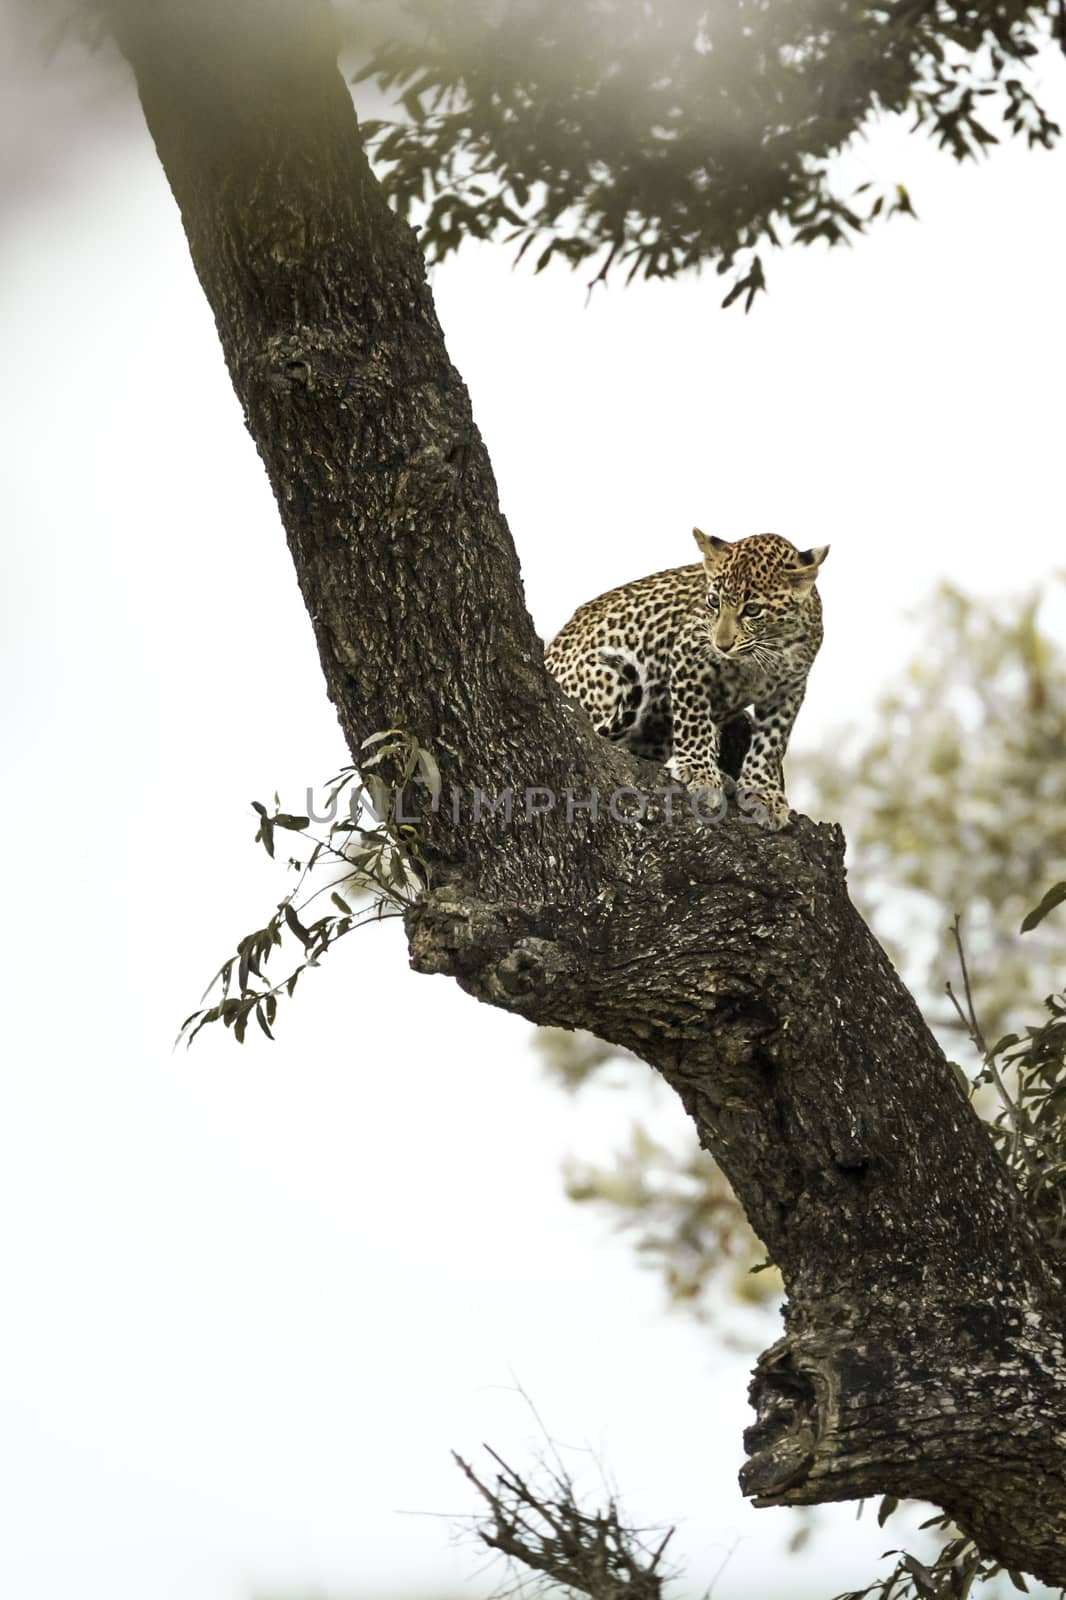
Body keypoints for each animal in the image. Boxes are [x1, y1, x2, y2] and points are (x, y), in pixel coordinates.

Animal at [544, 531, 825, 832]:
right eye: (713, 601)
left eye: (752, 610)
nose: (721, 645)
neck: (768, 647)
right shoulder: (688, 658)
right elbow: (695, 722)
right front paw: (701, 774)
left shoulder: (789, 689)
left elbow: (771, 742)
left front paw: (763, 793)